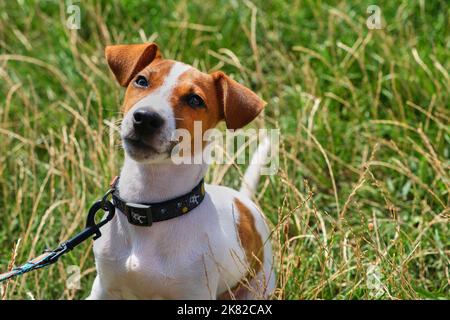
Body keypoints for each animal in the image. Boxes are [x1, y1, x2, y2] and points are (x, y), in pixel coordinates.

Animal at [88, 42, 276, 300]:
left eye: (195, 100)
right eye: (141, 81)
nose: (145, 118)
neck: (152, 208)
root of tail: (243, 200)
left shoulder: (195, 293)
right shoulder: (103, 288)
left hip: (259, 286)